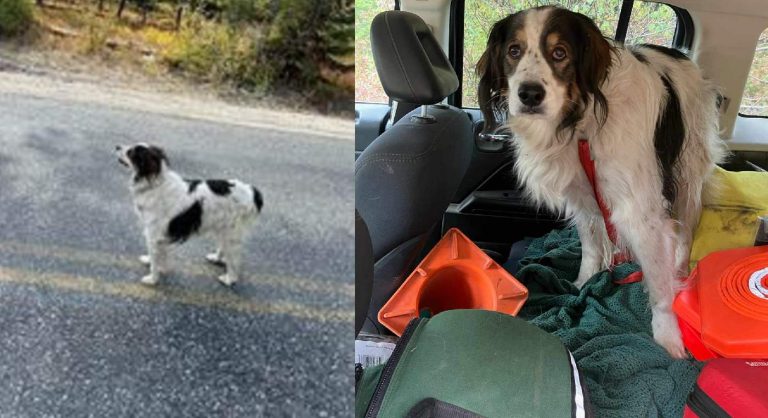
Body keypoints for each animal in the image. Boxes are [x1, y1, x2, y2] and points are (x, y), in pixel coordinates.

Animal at [115, 145, 264, 288]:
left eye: (131, 153)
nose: (117, 146)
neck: (155, 183)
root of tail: (252, 191)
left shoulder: (153, 234)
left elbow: (155, 259)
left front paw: (153, 279)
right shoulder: (161, 236)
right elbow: (160, 254)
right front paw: (154, 264)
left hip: (231, 232)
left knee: (234, 259)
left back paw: (229, 279)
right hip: (224, 229)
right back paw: (216, 258)